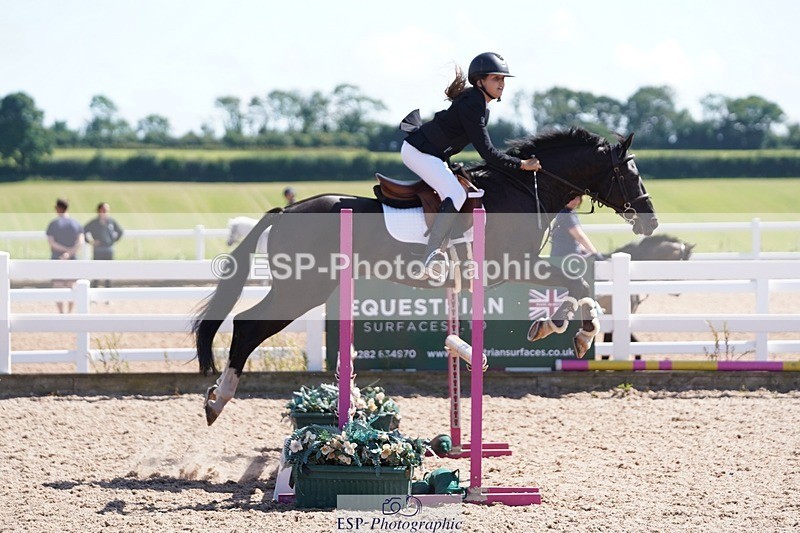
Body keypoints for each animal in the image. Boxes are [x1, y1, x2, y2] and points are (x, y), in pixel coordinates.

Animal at [194, 127, 659, 425]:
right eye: (629, 174)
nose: (650, 221)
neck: (524, 191)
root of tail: (284, 211)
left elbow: (572, 284)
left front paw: (561, 326)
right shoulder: (515, 263)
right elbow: (575, 281)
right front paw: (572, 331)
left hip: (301, 288)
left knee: (246, 324)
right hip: (301, 289)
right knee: (247, 326)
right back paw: (218, 401)